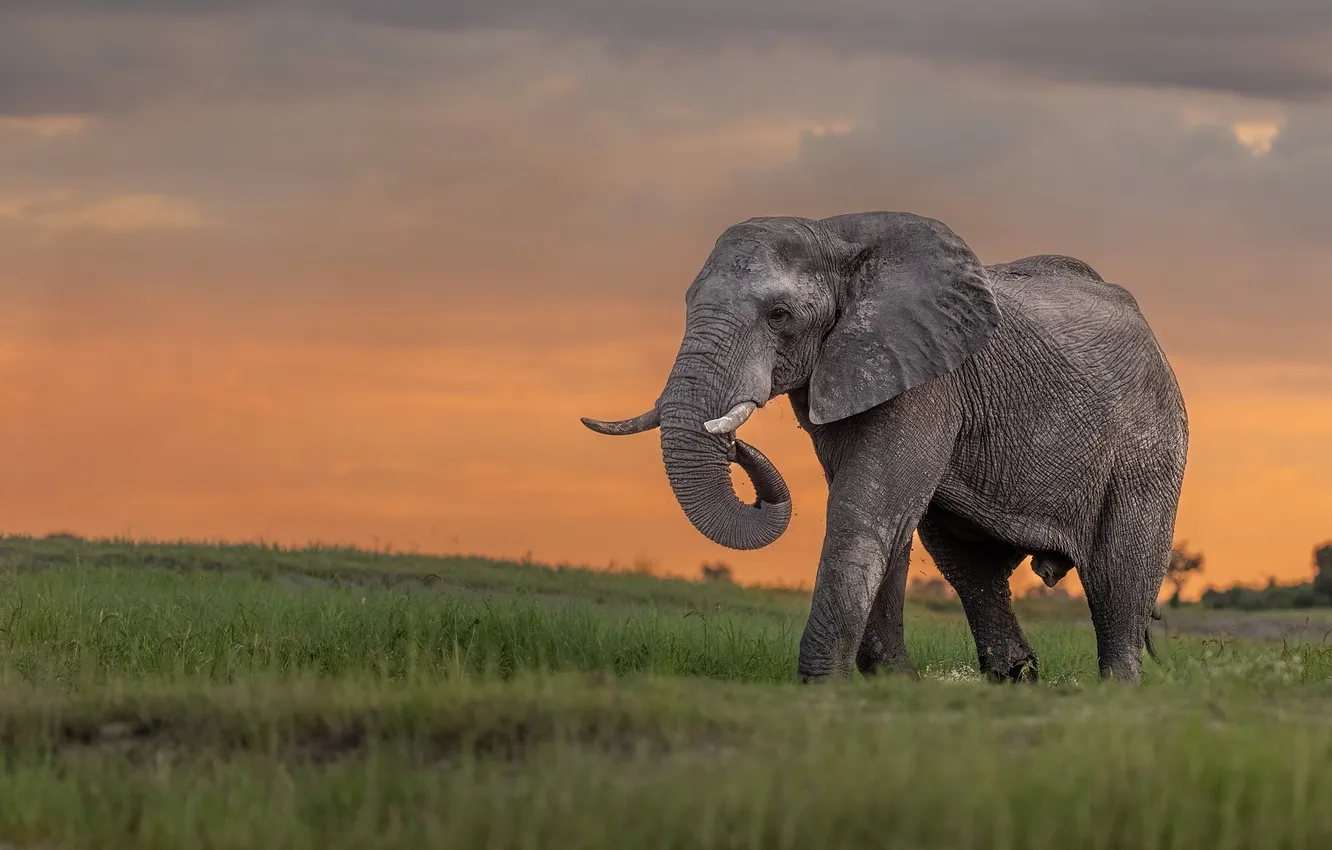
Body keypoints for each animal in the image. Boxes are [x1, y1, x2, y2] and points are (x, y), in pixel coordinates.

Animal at [581, 211, 1188, 685]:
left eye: (779, 316)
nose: (733, 443)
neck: (834, 236)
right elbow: (888, 516)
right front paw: (892, 682)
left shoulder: (925, 377)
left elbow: (867, 504)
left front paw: (825, 685)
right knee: (971, 567)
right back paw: (1018, 679)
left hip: (1151, 446)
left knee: (1118, 575)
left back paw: (1116, 691)